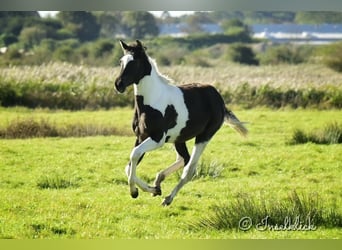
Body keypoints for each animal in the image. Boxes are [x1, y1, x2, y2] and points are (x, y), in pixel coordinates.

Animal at [115, 40, 248, 206]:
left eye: (134, 62)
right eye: (121, 61)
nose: (118, 84)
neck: (151, 101)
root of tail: (218, 97)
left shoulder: (157, 139)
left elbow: (134, 154)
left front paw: (134, 192)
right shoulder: (141, 137)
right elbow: (129, 166)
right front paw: (152, 190)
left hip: (204, 137)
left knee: (189, 169)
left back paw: (168, 198)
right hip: (178, 138)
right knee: (184, 158)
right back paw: (158, 182)